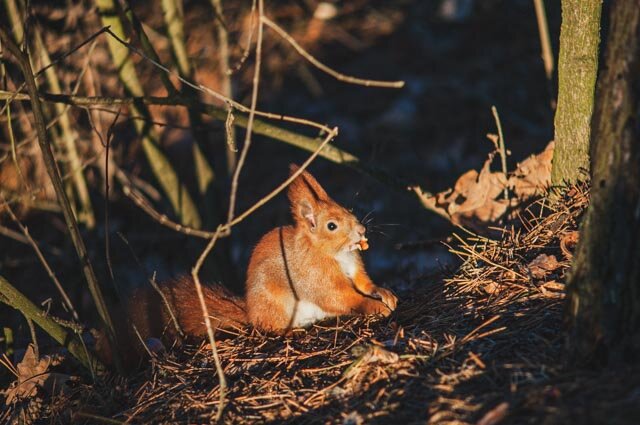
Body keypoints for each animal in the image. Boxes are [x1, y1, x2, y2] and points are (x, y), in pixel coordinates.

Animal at [99, 164, 396, 362]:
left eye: (349, 209)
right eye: (331, 226)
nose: (361, 231)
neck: (335, 254)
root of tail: (250, 312)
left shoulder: (354, 268)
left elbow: (364, 283)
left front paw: (384, 294)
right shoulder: (316, 277)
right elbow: (341, 297)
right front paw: (374, 307)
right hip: (276, 306)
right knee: (269, 328)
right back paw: (292, 332)